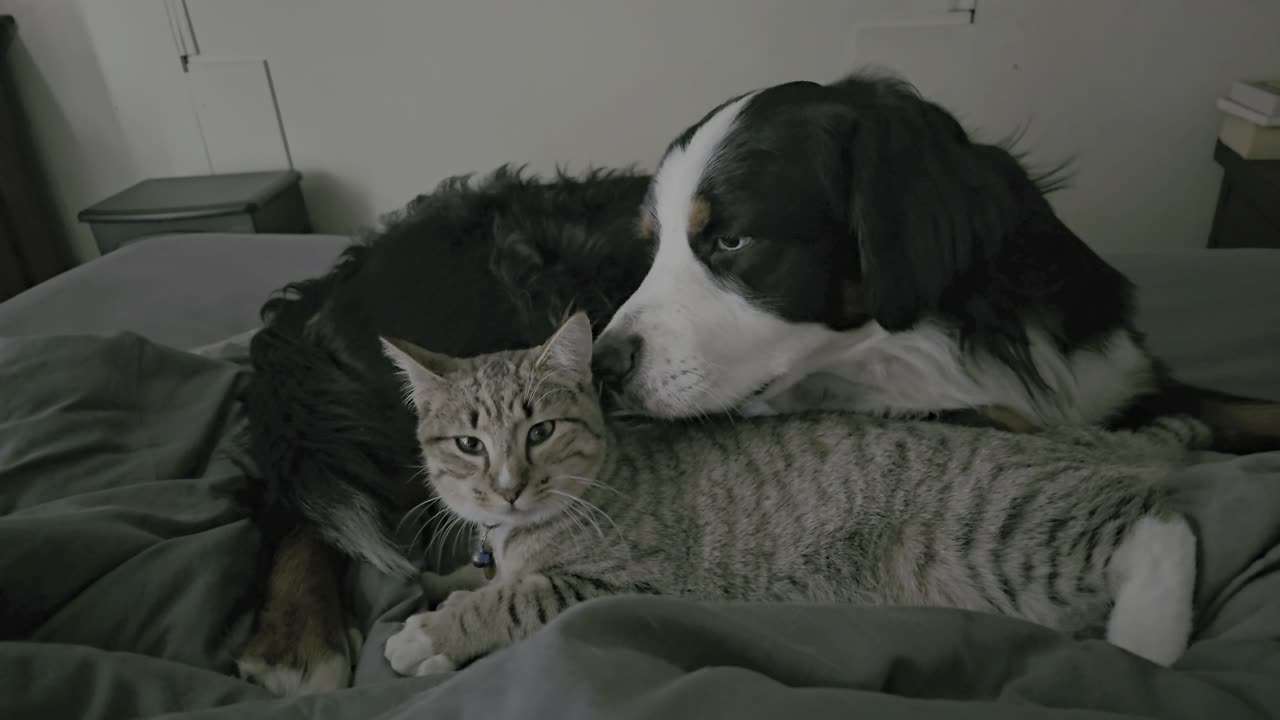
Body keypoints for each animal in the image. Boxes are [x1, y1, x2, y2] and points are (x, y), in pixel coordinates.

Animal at [376, 311, 1198, 676]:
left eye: (541, 431)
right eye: (469, 444)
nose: (508, 488)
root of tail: (1067, 440)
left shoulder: (619, 583)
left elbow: (517, 599)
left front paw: (432, 632)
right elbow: (479, 577)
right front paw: (439, 584)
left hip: (1005, 535)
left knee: (1161, 525)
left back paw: (1147, 644)